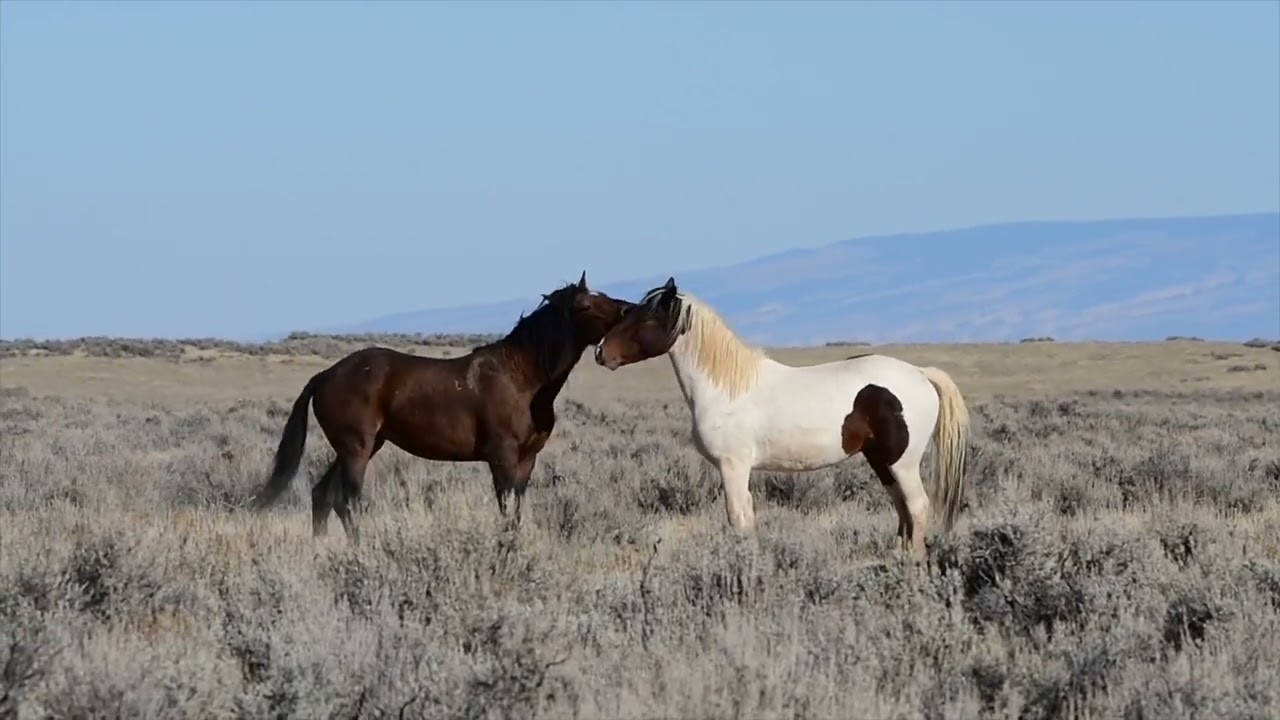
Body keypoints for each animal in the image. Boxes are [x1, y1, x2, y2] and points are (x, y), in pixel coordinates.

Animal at [251, 272, 634, 543]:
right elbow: (505, 509)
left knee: (322, 496)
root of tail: (325, 376)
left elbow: (515, 512)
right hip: (356, 449)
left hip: (362, 447)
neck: (521, 378)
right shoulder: (503, 459)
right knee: (347, 502)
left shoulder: (527, 460)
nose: (628, 310)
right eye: (586, 306)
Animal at [593, 277, 970, 558]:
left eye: (647, 318)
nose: (600, 352)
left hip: (901, 462)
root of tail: (921, 374)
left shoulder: (733, 467)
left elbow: (739, 518)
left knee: (918, 508)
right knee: (903, 510)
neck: (726, 387)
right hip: (880, 460)